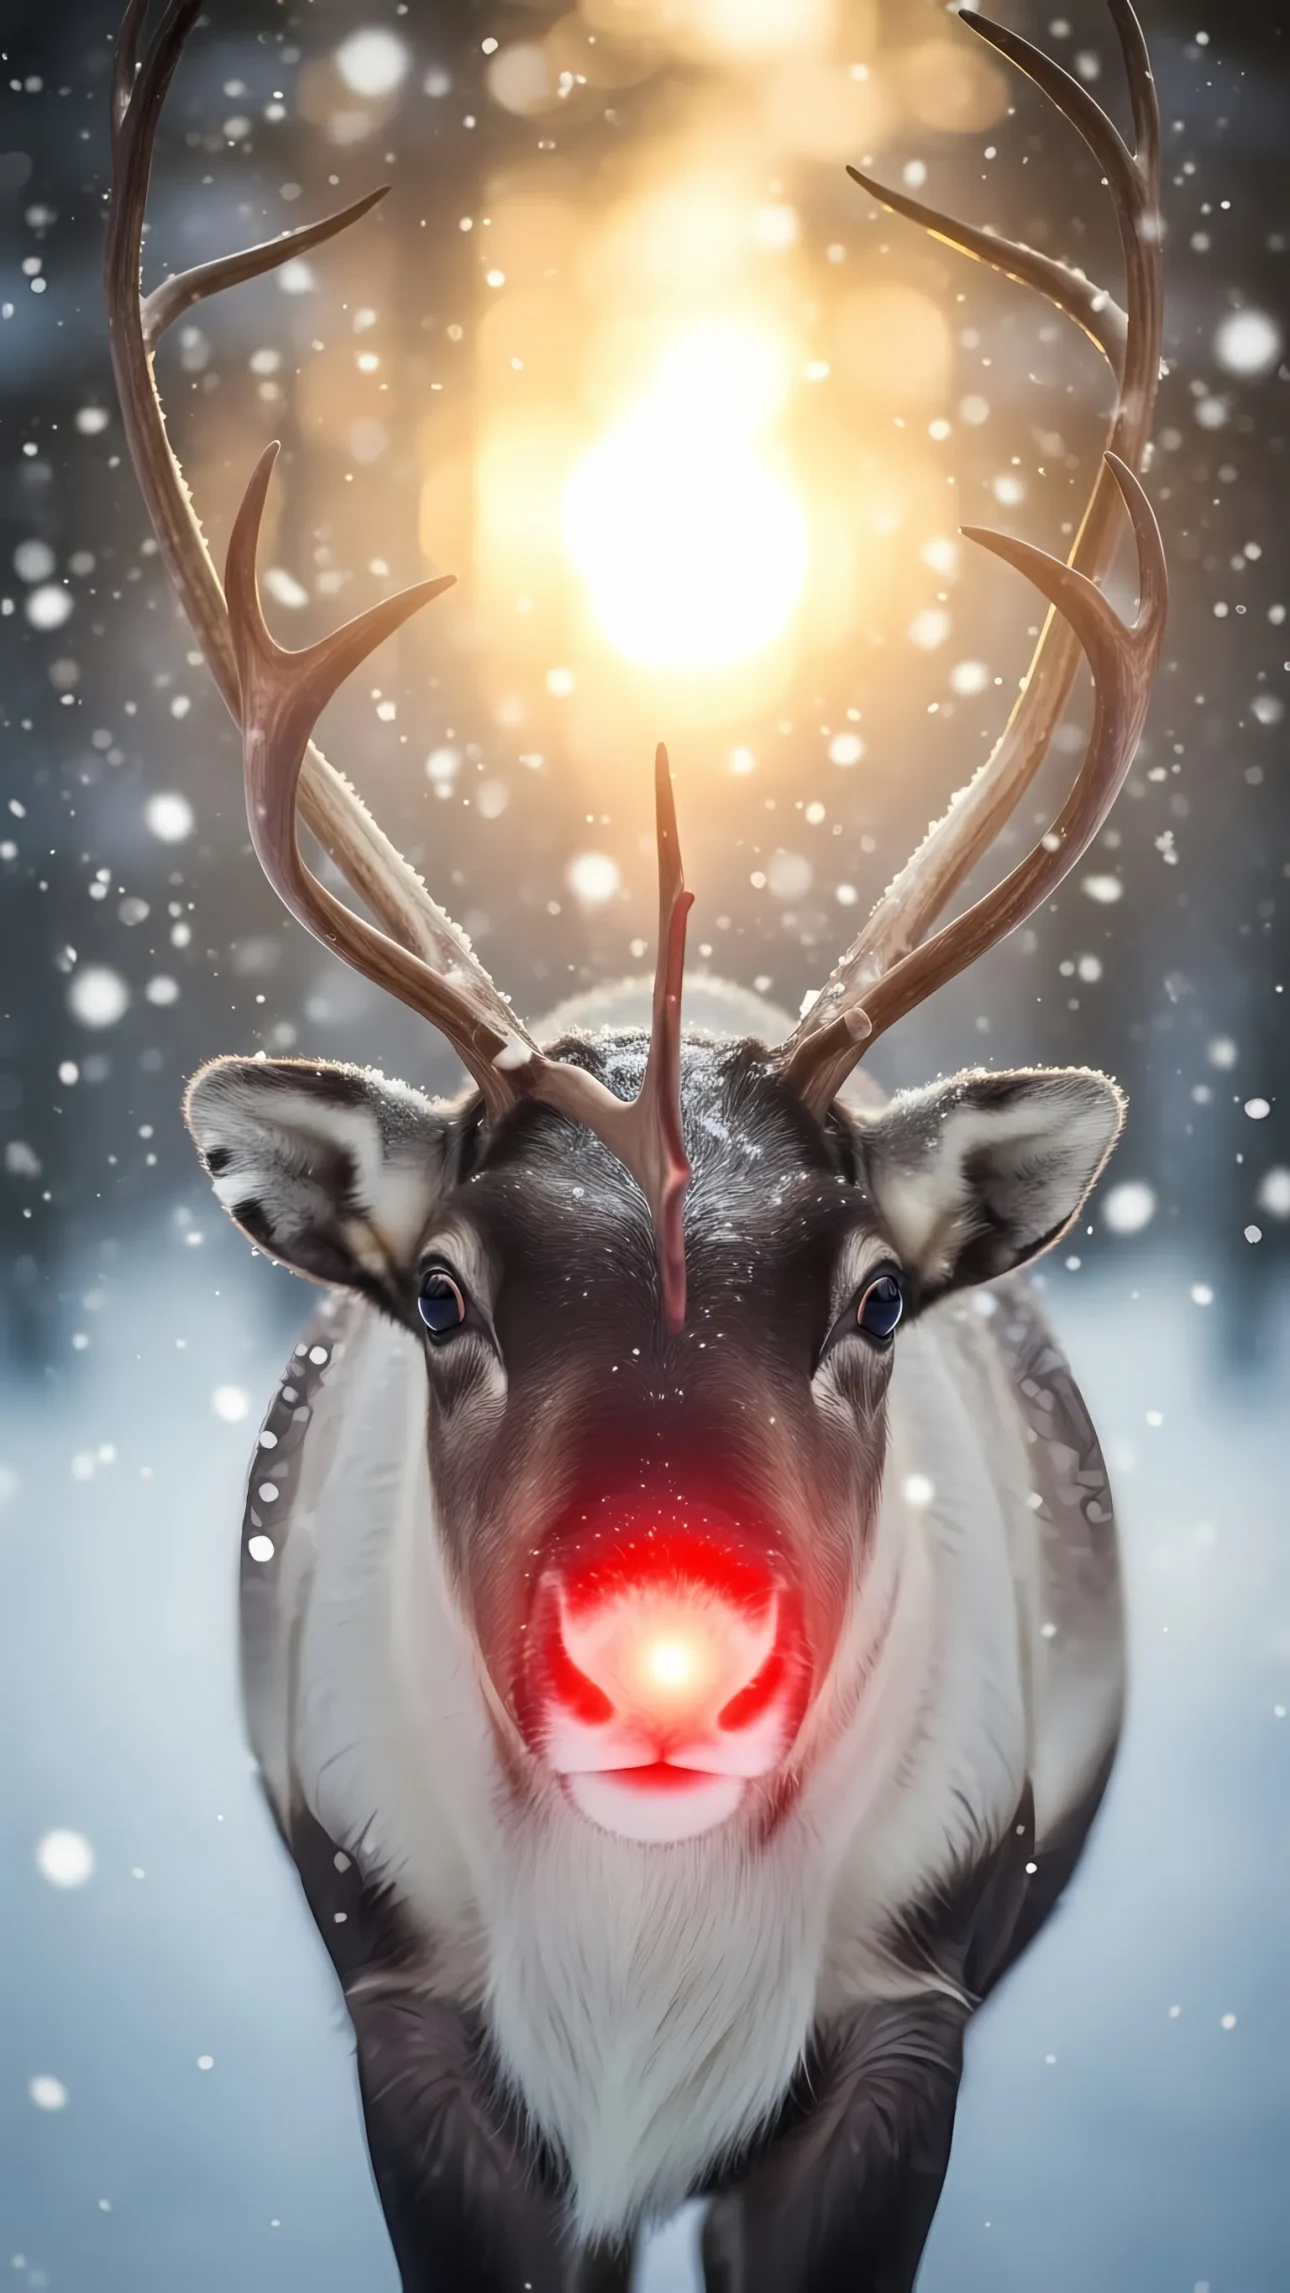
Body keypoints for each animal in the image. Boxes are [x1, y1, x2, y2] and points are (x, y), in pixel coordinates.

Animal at [105, 2, 1165, 2287]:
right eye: (437, 1292)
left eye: (879, 1294)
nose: (665, 1660)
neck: (640, 1979)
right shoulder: (412, 2021)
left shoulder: (902, 2027)